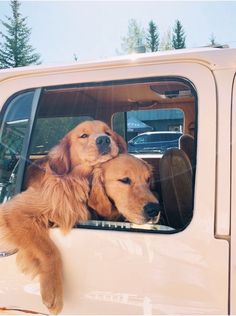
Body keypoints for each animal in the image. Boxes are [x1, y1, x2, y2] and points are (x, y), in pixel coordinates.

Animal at [0, 119, 127, 314]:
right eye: (83, 135)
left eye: (108, 133)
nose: (104, 140)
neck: (78, 179)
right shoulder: (15, 211)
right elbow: (49, 250)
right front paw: (52, 292)